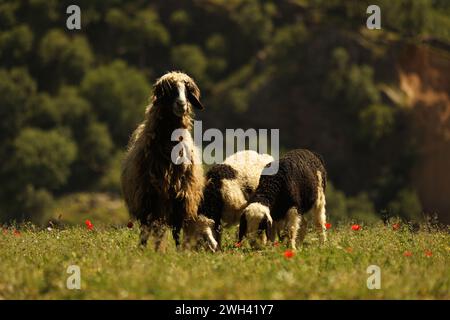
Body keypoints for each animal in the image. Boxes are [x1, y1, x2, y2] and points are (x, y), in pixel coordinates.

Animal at [120, 70, 210, 250]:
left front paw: (178, 251)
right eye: (169, 91)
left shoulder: (181, 198)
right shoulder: (148, 197)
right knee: (151, 229)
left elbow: (176, 231)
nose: (182, 104)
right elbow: (147, 230)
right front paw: (143, 249)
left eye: (187, 91)